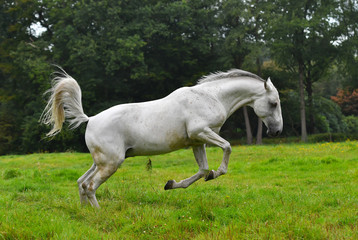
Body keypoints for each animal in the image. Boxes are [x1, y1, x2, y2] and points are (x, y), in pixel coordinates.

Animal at [40, 68, 282, 207]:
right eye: (273, 103)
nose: (277, 131)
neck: (211, 97)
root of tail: (90, 119)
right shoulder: (201, 132)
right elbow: (228, 148)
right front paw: (217, 173)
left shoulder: (198, 141)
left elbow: (202, 170)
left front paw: (171, 184)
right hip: (111, 163)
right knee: (90, 187)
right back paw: (99, 214)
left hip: (101, 162)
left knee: (81, 183)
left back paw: (85, 213)